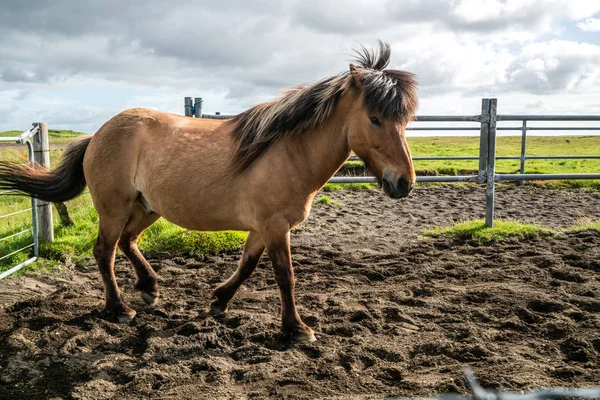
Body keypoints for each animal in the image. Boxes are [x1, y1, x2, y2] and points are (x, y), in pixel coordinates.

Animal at [0, 40, 418, 342]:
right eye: (374, 119)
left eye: (406, 119)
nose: (404, 183)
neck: (287, 151)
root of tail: (98, 134)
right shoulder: (275, 226)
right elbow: (285, 275)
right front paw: (297, 329)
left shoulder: (262, 228)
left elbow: (247, 265)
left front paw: (219, 301)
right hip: (114, 208)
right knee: (105, 251)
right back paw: (120, 309)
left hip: (146, 208)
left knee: (127, 242)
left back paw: (150, 288)